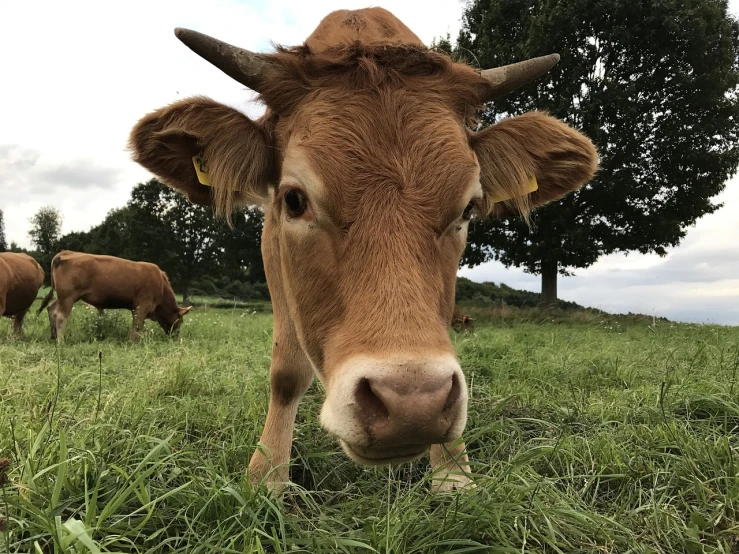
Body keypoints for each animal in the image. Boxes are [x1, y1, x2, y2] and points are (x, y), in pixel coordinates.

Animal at [38, 250, 191, 340]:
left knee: (51, 309)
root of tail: (65, 253)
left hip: (63, 297)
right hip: (68, 297)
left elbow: (138, 326)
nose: (175, 337)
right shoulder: (142, 305)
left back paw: (53, 336)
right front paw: (133, 343)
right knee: (60, 316)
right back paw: (61, 341)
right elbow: (137, 326)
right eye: (180, 320)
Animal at [127, 7, 600, 492]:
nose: (413, 404)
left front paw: (453, 473)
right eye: (293, 199)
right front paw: (266, 476)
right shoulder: (272, 246)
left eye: (469, 207)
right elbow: (286, 373)